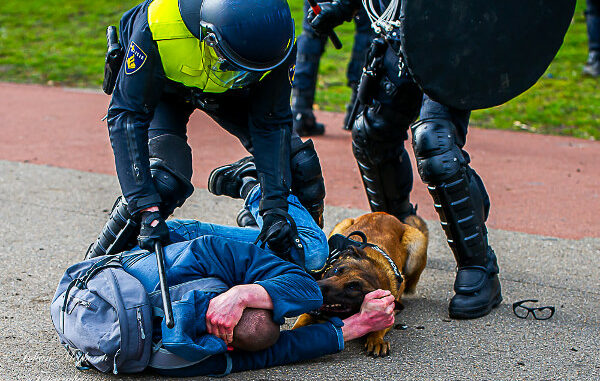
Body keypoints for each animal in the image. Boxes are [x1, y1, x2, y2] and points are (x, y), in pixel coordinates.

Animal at [292, 212, 428, 354]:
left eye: (352, 287)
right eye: (336, 270)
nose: (316, 288)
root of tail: (387, 214)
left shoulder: (390, 308)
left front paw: (376, 339)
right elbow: (299, 324)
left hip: (417, 244)